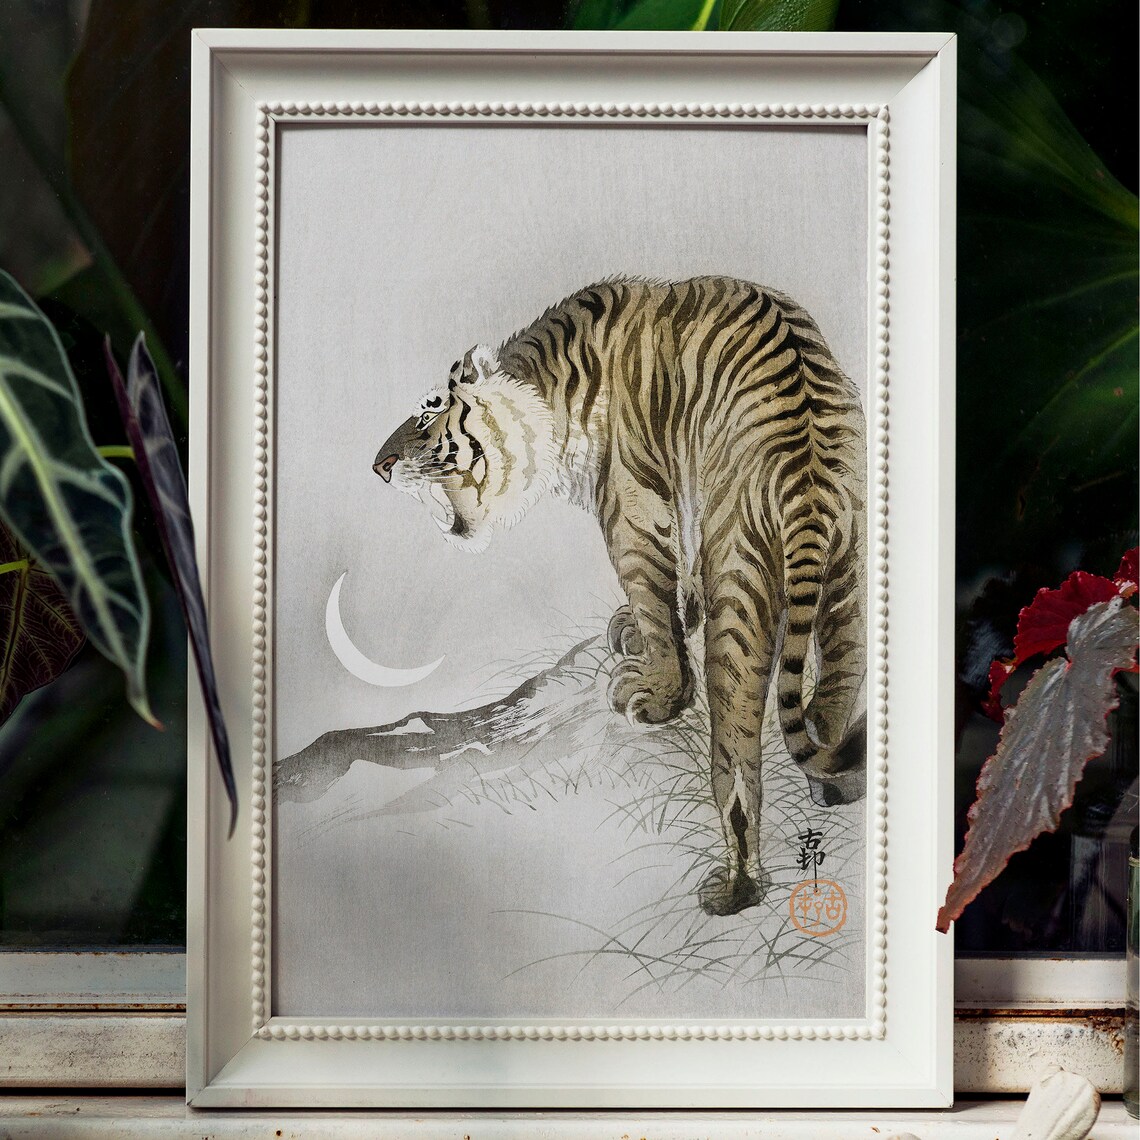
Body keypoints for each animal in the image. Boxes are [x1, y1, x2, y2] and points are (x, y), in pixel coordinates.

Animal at [374, 276, 866, 917]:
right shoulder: (683, 494)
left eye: (429, 411)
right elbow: (678, 579)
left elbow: (653, 594)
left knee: (736, 758)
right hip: (852, 575)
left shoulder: (631, 505)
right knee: (837, 689)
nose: (379, 465)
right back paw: (835, 784)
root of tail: (807, 469)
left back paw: (735, 887)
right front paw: (650, 622)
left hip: (742, 582)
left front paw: (656, 691)